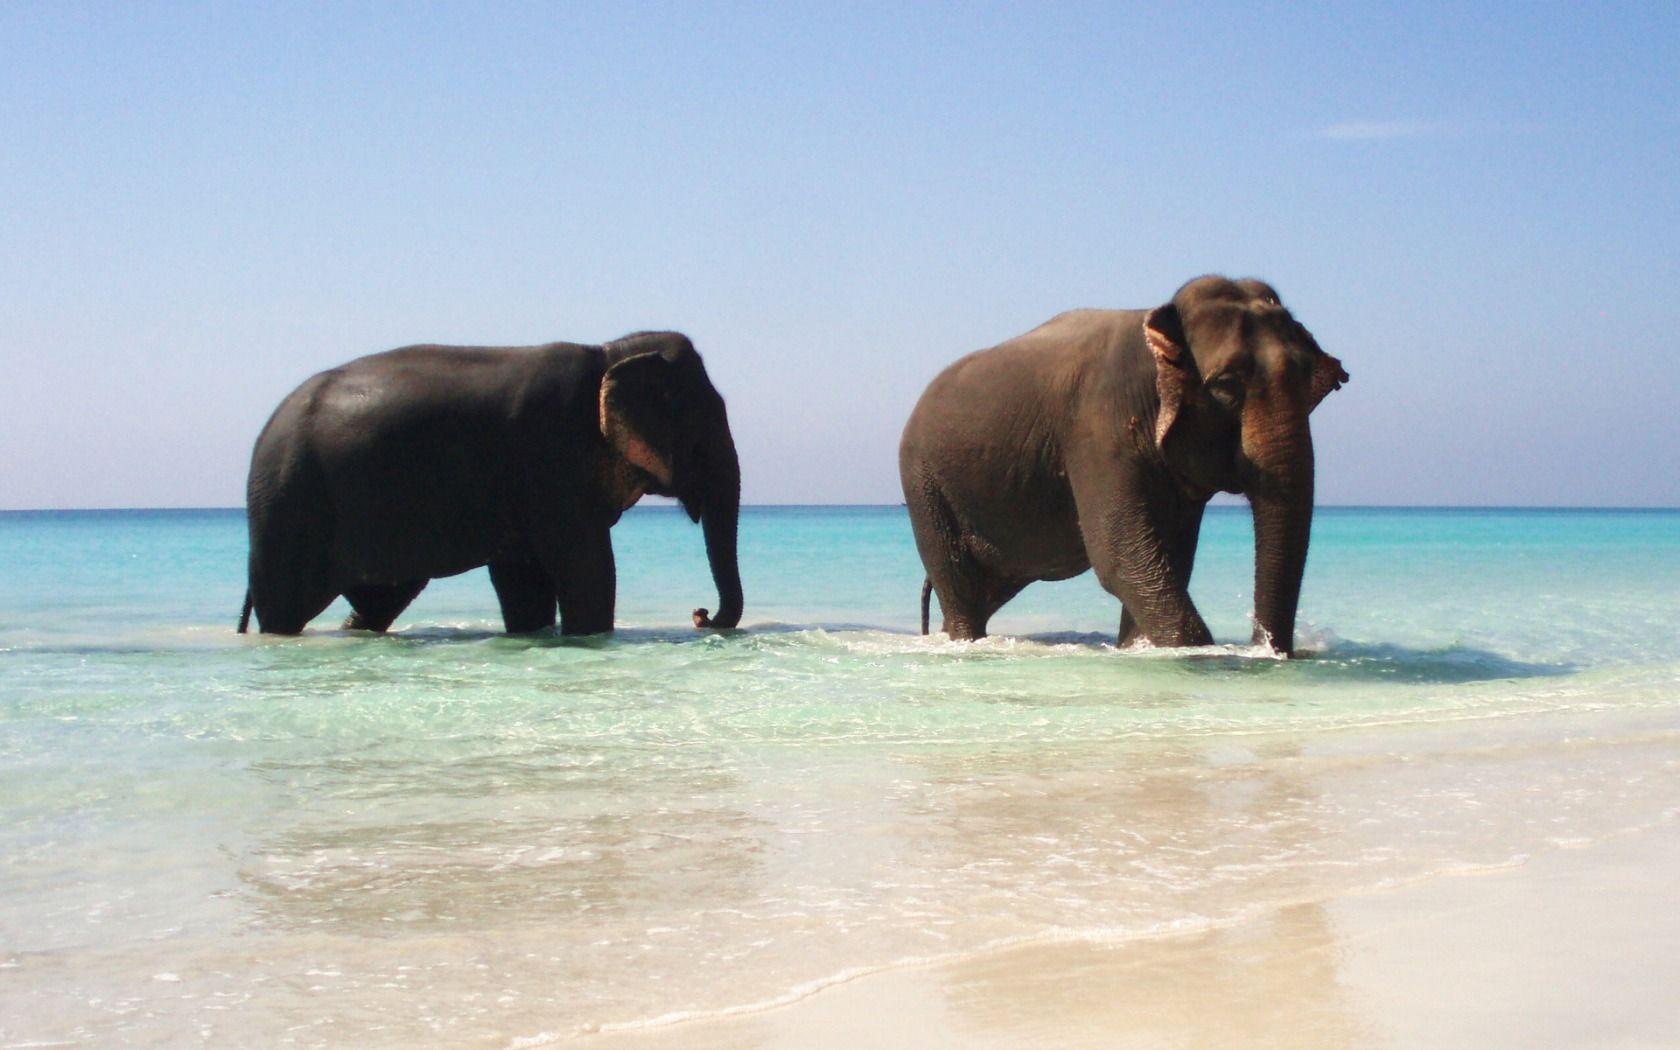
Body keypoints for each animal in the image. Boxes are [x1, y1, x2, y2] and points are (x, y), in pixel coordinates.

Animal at [237, 330, 742, 636]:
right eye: (703, 433)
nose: (700, 615)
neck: (608, 352)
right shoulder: (547, 456)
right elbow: (587, 568)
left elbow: (523, 580)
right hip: (288, 508)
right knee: (285, 606)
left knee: (382, 599)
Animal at [899, 276, 1346, 656]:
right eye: (1226, 385)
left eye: (1310, 381)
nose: (1266, 647)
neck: (1156, 326)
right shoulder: (1098, 432)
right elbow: (1121, 557)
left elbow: (1168, 559)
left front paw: (1136, 648)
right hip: (923, 485)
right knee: (959, 588)